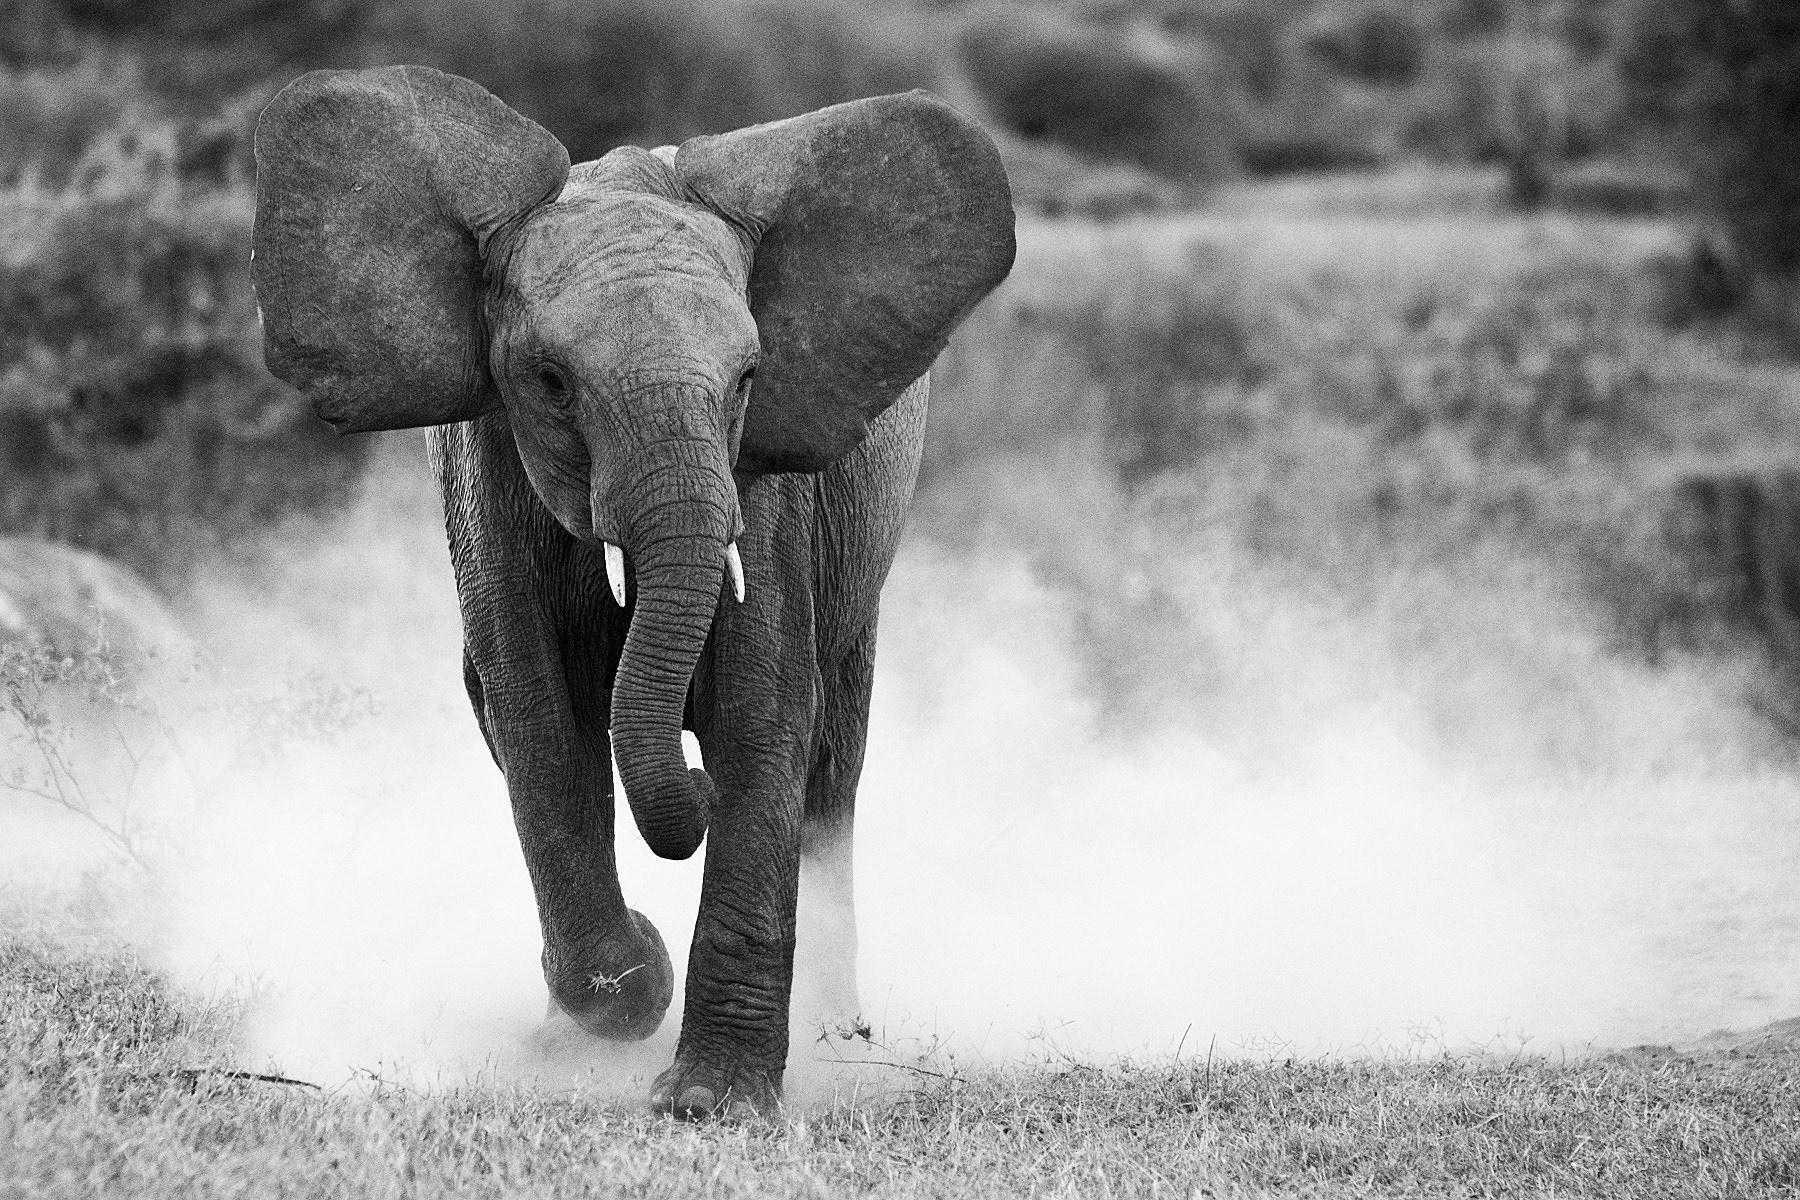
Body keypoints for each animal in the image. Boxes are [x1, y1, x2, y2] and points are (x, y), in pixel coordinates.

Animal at [249, 65, 1014, 1116]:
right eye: (550, 380)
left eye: (749, 378)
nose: (692, 789)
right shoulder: (489, 476)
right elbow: (538, 727)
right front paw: (628, 991)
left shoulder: (765, 489)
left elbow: (763, 718)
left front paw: (709, 1105)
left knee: (835, 763)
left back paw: (838, 1037)